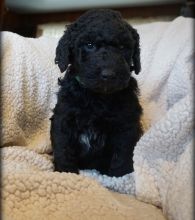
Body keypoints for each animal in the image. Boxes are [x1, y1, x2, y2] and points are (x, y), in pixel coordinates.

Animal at [50, 9, 142, 177]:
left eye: (122, 47)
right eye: (89, 45)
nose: (109, 74)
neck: (98, 96)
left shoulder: (127, 123)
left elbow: (123, 150)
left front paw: (120, 176)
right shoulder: (63, 118)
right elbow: (63, 147)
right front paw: (66, 172)